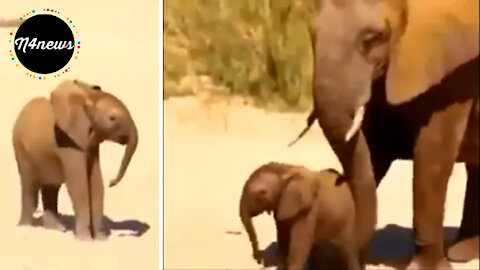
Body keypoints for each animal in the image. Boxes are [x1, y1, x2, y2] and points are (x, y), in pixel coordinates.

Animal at [310, 0, 478, 268]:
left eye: (372, 38)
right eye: (311, 34)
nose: (359, 261)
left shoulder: (452, 69)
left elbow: (432, 158)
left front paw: (426, 267)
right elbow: (374, 151)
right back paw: (463, 252)